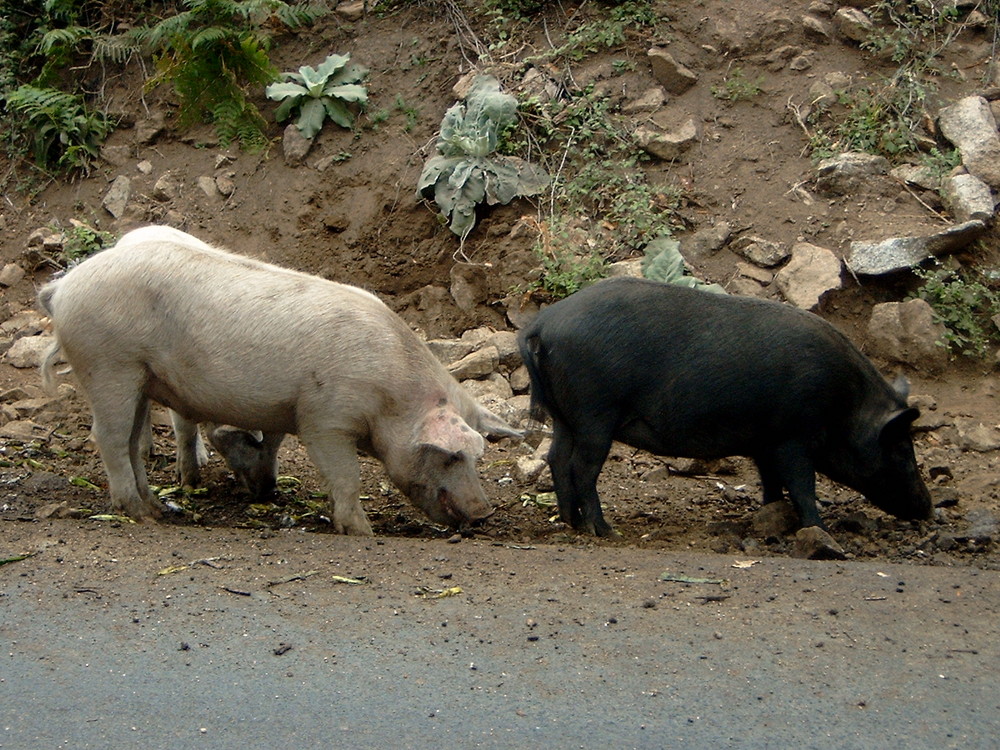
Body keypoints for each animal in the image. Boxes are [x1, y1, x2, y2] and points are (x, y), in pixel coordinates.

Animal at [35, 226, 520, 536]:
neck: (392, 396)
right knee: (109, 436)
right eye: (451, 456)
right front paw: (362, 532)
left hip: (140, 377)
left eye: (477, 456)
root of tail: (63, 288)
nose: (484, 514)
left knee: (133, 439)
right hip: (108, 364)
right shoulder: (324, 418)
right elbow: (346, 477)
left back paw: (160, 509)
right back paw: (140, 514)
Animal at [520, 280, 932, 536]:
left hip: (565, 415)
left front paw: (772, 519)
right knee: (581, 466)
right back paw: (604, 530)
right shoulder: (793, 437)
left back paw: (570, 522)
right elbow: (802, 485)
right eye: (903, 450)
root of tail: (543, 322)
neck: (846, 405)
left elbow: (773, 485)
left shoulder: (767, 443)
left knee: (557, 458)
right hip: (595, 413)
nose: (928, 509)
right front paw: (820, 529)